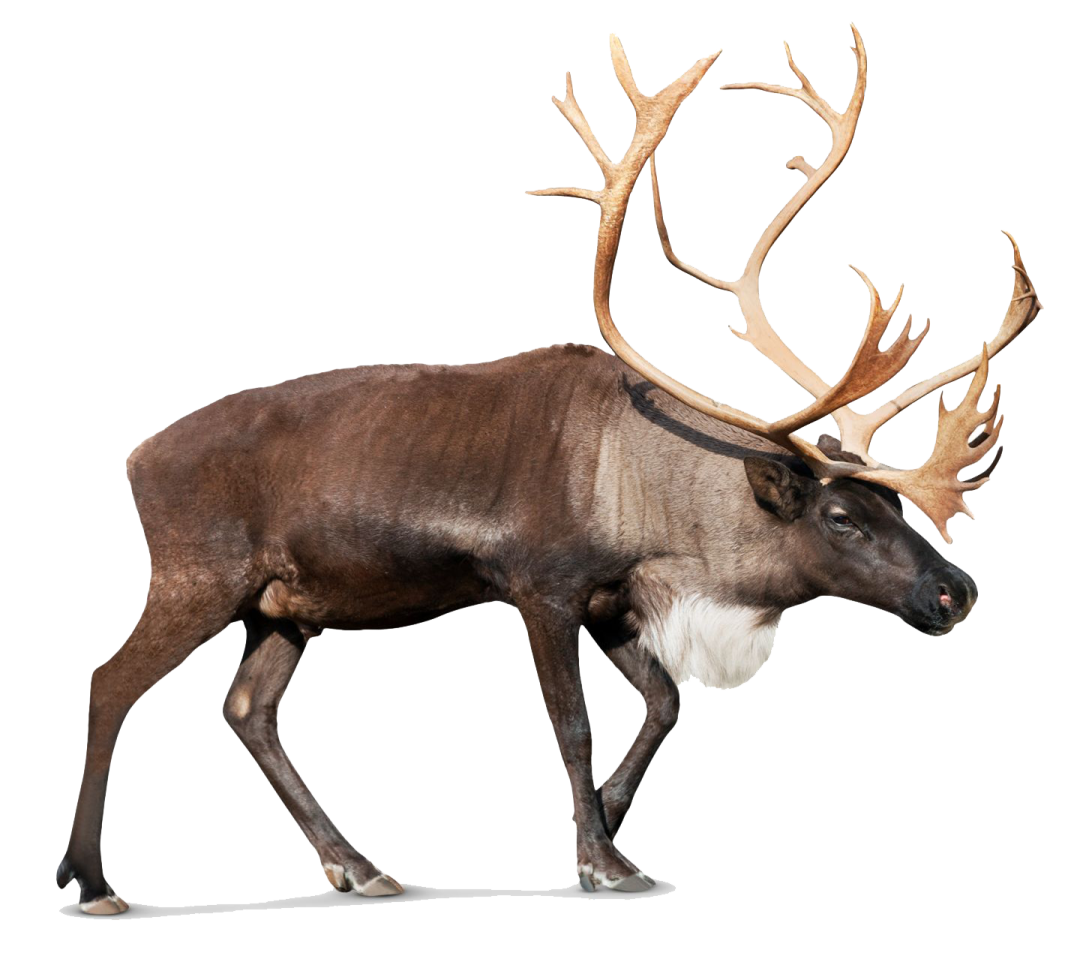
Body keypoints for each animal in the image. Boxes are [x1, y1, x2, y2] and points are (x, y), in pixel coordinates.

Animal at [57, 24, 1041, 913]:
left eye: (896, 508)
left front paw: (607, 826)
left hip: (287, 607)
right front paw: (601, 863)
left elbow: (665, 705)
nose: (956, 591)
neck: (657, 511)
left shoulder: (614, 601)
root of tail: (135, 456)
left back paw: (366, 870)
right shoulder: (540, 585)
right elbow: (574, 724)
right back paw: (95, 881)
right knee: (113, 680)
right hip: (199, 574)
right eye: (840, 517)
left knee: (247, 710)